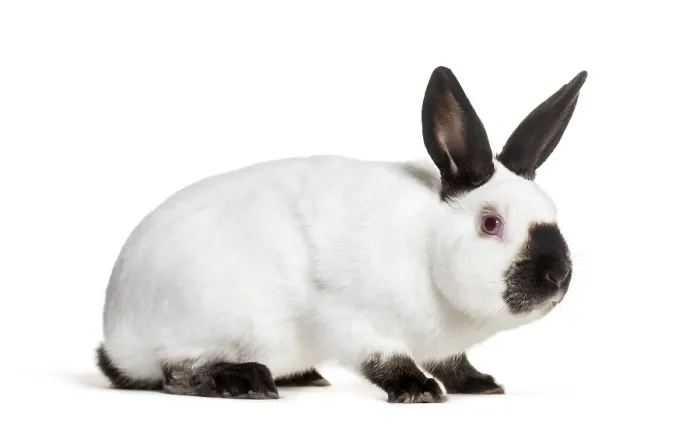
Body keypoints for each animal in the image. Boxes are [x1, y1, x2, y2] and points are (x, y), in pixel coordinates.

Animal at [96, 65, 587, 403]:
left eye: (553, 214)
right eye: (491, 224)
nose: (558, 275)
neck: (427, 247)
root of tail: (115, 331)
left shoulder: (442, 348)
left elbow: (455, 365)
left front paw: (482, 384)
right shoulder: (351, 320)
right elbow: (385, 359)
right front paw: (419, 389)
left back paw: (304, 375)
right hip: (204, 322)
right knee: (176, 371)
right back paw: (246, 380)